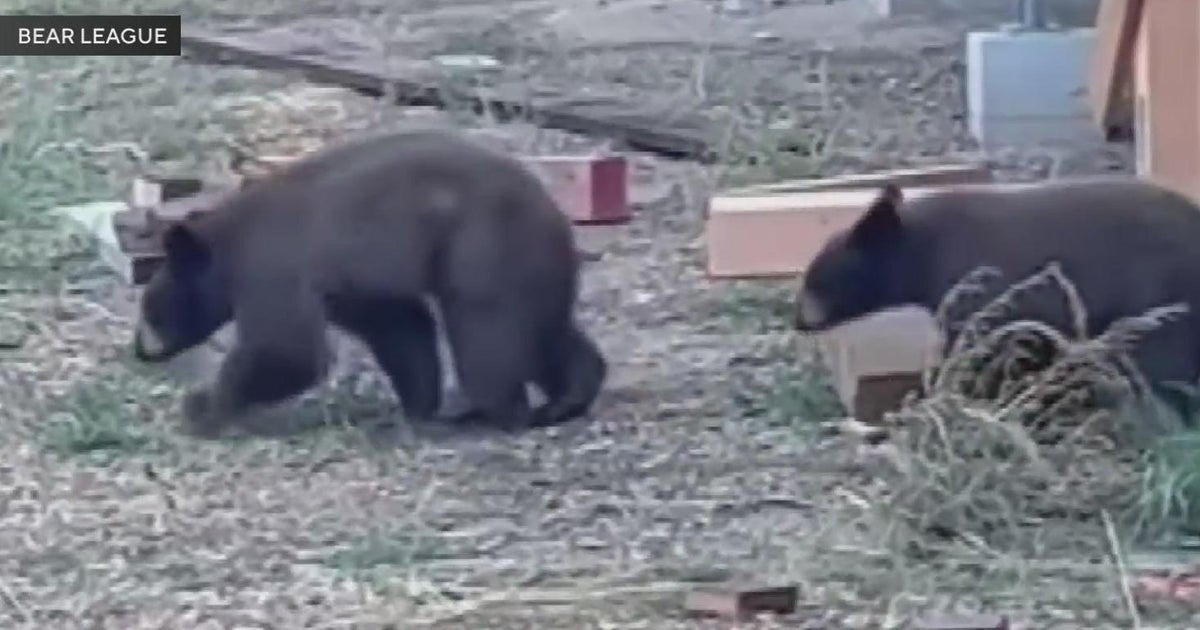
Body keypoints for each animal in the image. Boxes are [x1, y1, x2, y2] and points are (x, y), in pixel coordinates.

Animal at [131, 129, 607, 437]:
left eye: (151, 310)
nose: (139, 350)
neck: (228, 244)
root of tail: (552, 209)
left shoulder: (273, 265)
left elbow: (287, 349)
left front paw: (203, 408)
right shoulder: (351, 281)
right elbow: (397, 325)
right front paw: (416, 404)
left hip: (481, 245)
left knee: (485, 331)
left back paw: (486, 411)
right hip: (525, 263)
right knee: (544, 326)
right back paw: (567, 397)